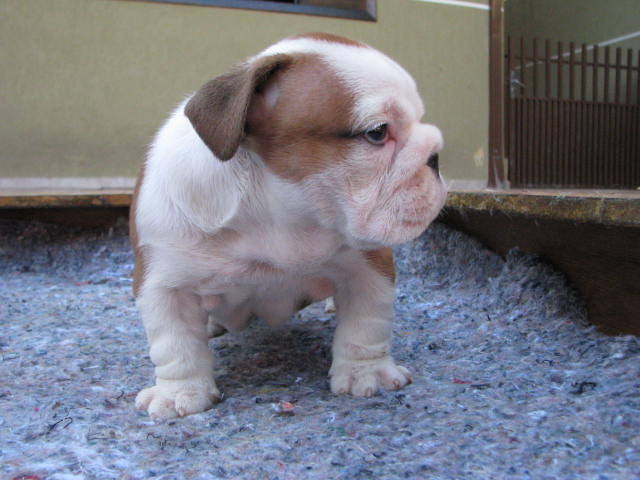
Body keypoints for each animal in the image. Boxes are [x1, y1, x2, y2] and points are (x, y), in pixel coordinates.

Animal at [131, 31, 444, 418]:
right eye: (377, 133)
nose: (435, 155)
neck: (277, 215)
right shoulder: (164, 283)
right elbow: (175, 345)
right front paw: (179, 393)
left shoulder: (370, 265)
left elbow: (366, 325)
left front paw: (365, 373)